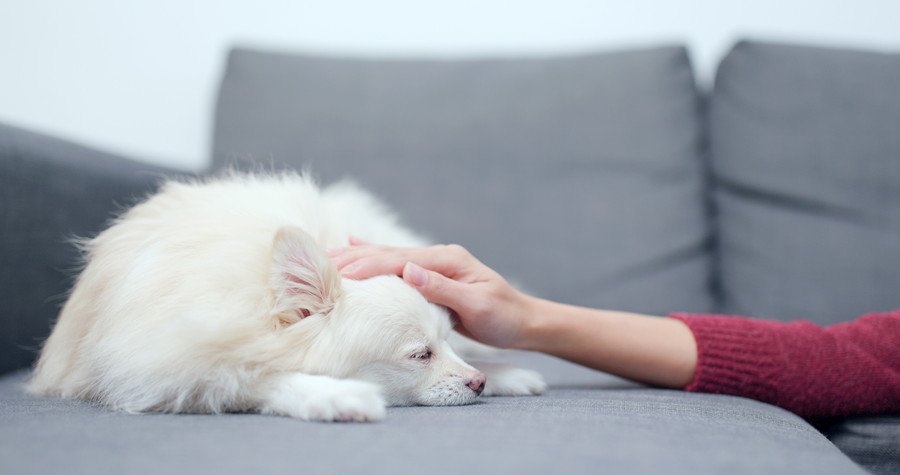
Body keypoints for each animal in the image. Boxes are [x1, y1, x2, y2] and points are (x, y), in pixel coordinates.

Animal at [28, 173, 544, 422]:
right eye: (420, 355)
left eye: (447, 340)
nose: (477, 382)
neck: (250, 296)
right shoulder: (169, 364)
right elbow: (260, 377)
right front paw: (334, 395)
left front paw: (503, 373)